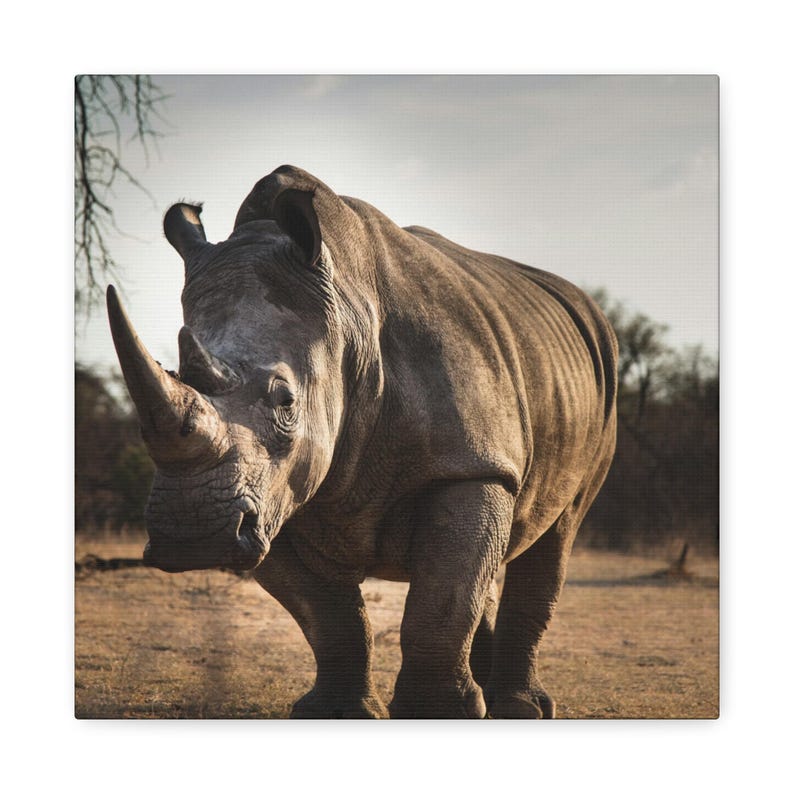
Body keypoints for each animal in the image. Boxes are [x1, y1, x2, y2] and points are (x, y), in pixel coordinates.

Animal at [107, 165, 617, 719]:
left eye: (285, 400)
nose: (192, 534)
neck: (348, 320)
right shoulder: (273, 500)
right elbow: (332, 616)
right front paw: (338, 712)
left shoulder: (471, 464)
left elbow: (440, 603)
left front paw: (436, 714)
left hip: (599, 387)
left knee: (556, 531)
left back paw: (520, 709)